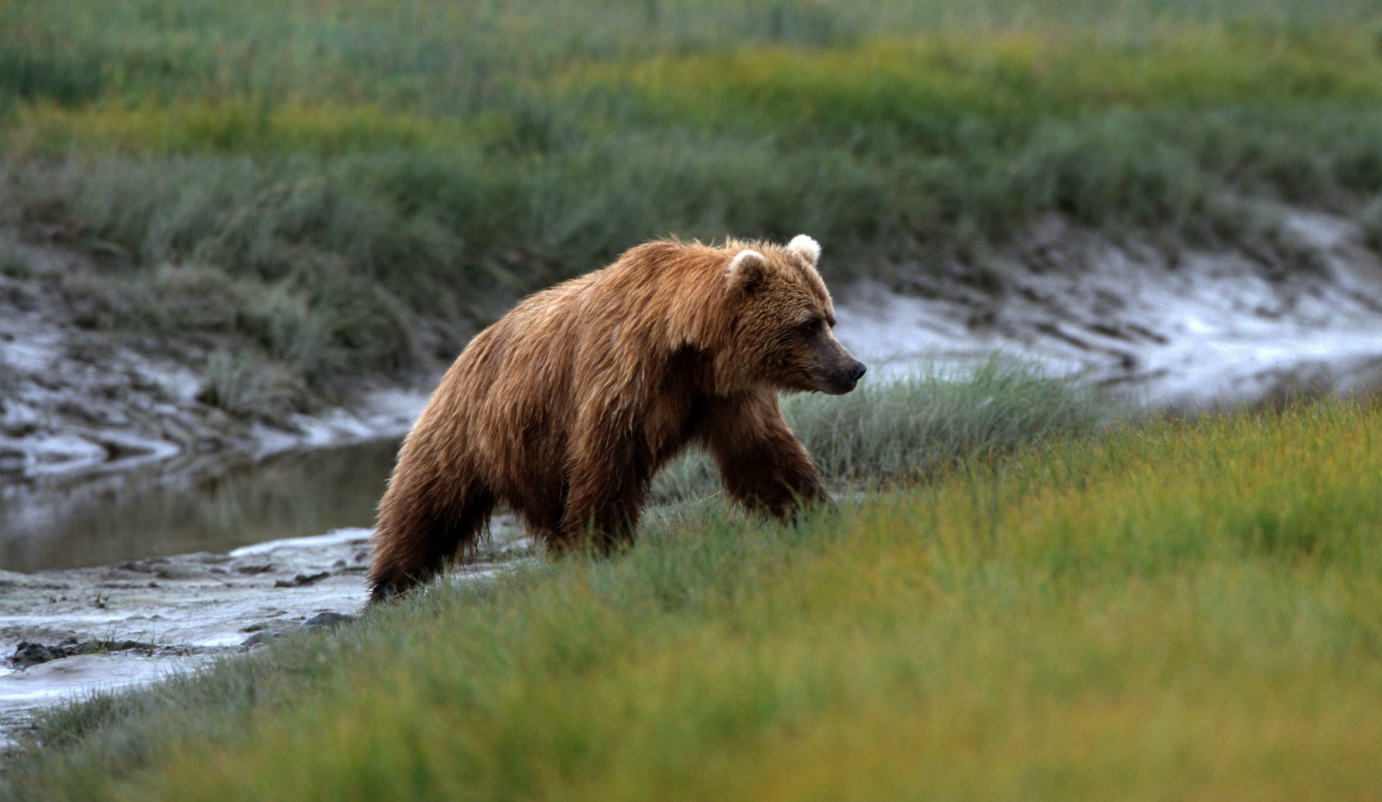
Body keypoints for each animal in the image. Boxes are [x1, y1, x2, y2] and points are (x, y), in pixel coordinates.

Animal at [367, 235, 862, 597]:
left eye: (829, 318)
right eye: (807, 324)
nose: (853, 368)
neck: (689, 347)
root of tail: (465, 350)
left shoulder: (725, 396)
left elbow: (764, 456)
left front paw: (816, 512)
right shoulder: (624, 379)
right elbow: (607, 466)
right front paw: (604, 549)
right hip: (468, 428)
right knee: (425, 504)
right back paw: (389, 587)